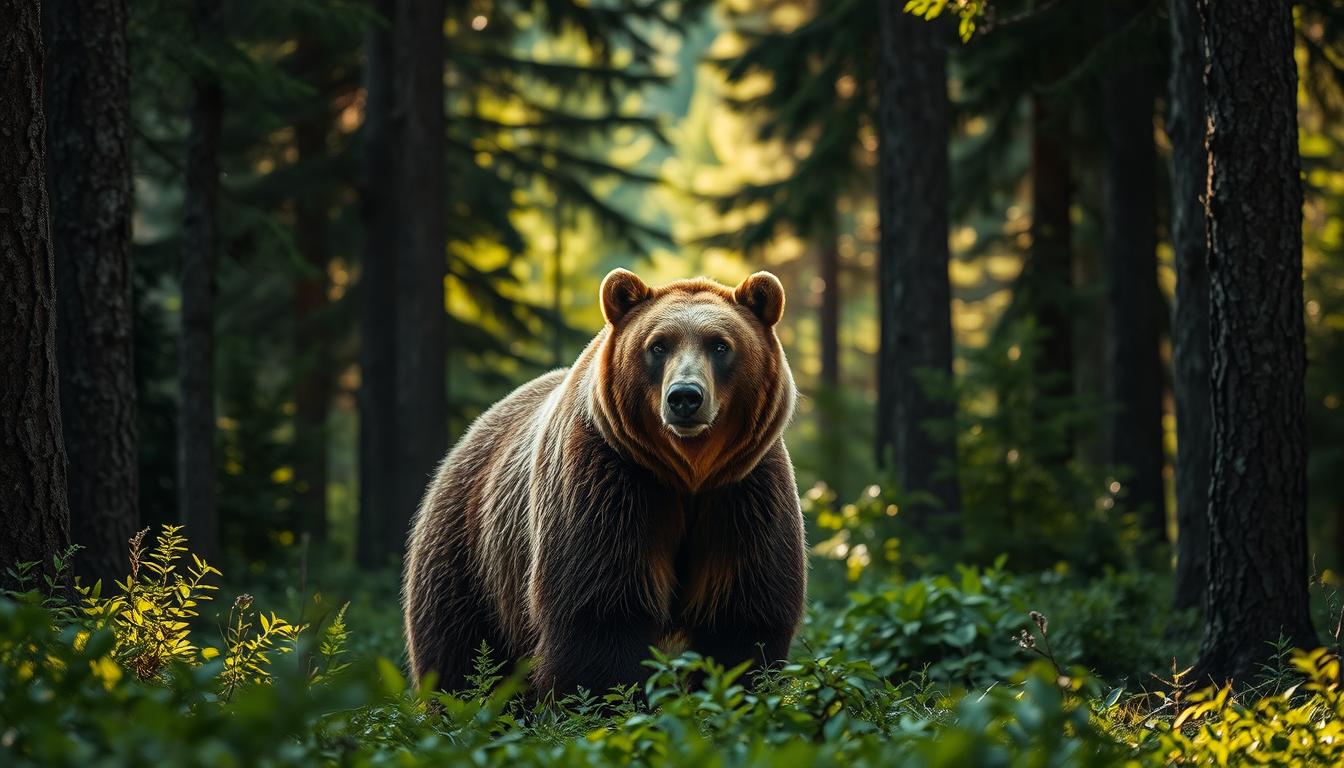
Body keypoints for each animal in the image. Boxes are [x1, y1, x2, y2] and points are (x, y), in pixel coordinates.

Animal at [401, 268, 806, 696]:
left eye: (720, 345)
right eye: (658, 345)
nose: (684, 397)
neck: (687, 472)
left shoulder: (743, 491)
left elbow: (741, 615)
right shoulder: (609, 481)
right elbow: (601, 612)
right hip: (469, 558)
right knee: (460, 656)